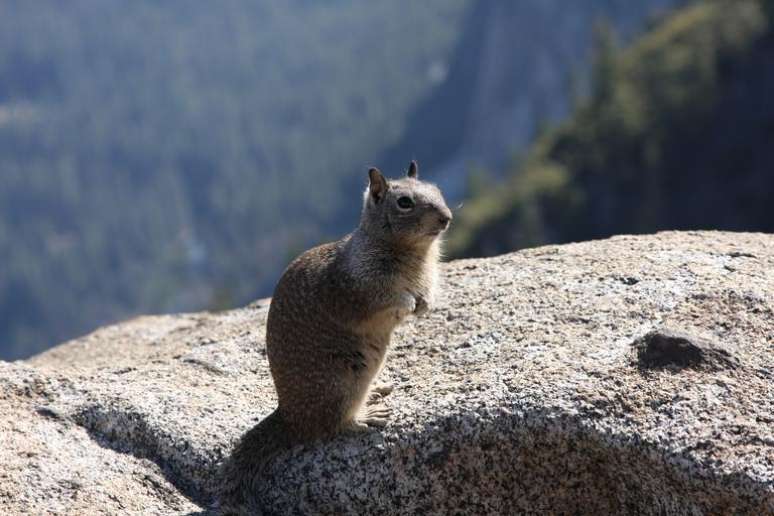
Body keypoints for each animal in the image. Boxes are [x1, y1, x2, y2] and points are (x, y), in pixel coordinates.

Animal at [215, 160, 452, 512]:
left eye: (437, 190)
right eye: (404, 202)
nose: (447, 217)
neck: (414, 255)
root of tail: (290, 418)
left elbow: (424, 296)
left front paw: (424, 304)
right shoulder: (358, 289)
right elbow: (384, 300)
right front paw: (408, 302)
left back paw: (376, 390)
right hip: (342, 383)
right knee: (334, 426)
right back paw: (367, 415)